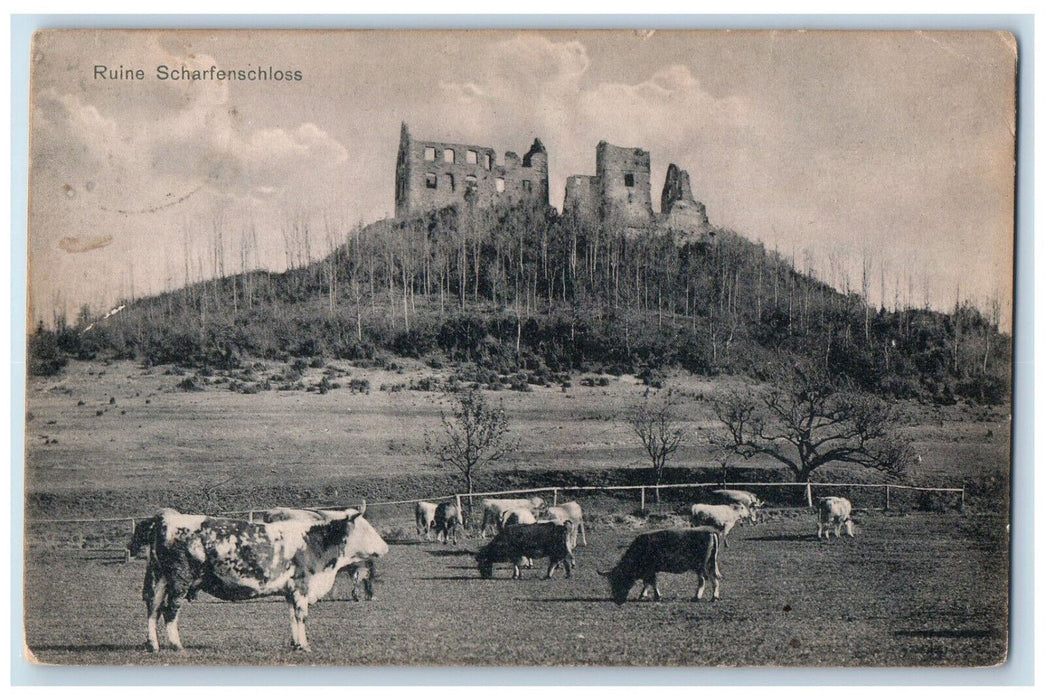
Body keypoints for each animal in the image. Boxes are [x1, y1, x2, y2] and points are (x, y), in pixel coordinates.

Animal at [134, 507, 388, 656]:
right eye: (366, 529)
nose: (385, 547)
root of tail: (166, 518)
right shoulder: (302, 585)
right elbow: (301, 615)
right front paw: (305, 645)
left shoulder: (290, 590)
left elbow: (292, 616)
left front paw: (296, 644)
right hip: (180, 578)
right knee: (170, 610)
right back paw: (177, 645)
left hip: (161, 578)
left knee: (153, 608)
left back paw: (153, 645)